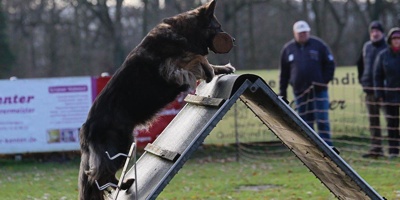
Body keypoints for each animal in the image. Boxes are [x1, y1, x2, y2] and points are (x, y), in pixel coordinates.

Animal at [78, 0, 234, 199]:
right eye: (218, 27)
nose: (233, 40)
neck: (183, 31)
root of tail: (86, 126)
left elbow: (204, 61)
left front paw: (223, 68)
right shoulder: (172, 67)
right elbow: (199, 58)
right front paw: (209, 70)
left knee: (100, 176)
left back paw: (123, 185)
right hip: (121, 145)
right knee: (98, 176)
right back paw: (123, 184)